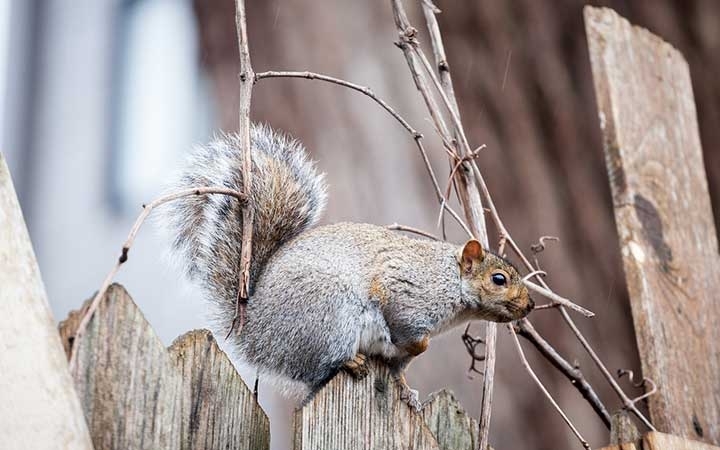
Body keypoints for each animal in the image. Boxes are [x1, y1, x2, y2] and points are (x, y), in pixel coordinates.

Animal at [161, 124, 534, 409]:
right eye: (499, 279)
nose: (529, 305)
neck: (448, 283)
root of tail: (256, 335)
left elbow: (399, 369)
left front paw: (408, 392)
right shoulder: (404, 294)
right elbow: (409, 332)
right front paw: (416, 345)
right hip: (330, 314)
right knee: (319, 368)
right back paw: (350, 360)